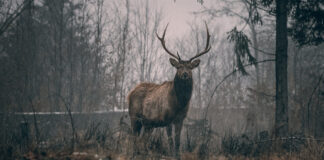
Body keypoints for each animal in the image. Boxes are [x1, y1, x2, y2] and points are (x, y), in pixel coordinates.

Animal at [128, 23, 211, 157]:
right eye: (179, 67)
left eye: (190, 67)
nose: (185, 74)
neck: (179, 103)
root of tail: (130, 93)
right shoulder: (166, 118)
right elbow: (171, 141)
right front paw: (172, 155)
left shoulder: (180, 119)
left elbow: (177, 142)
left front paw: (177, 156)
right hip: (134, 116)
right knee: (134, 138)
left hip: (148, 124)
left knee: (142, 140)